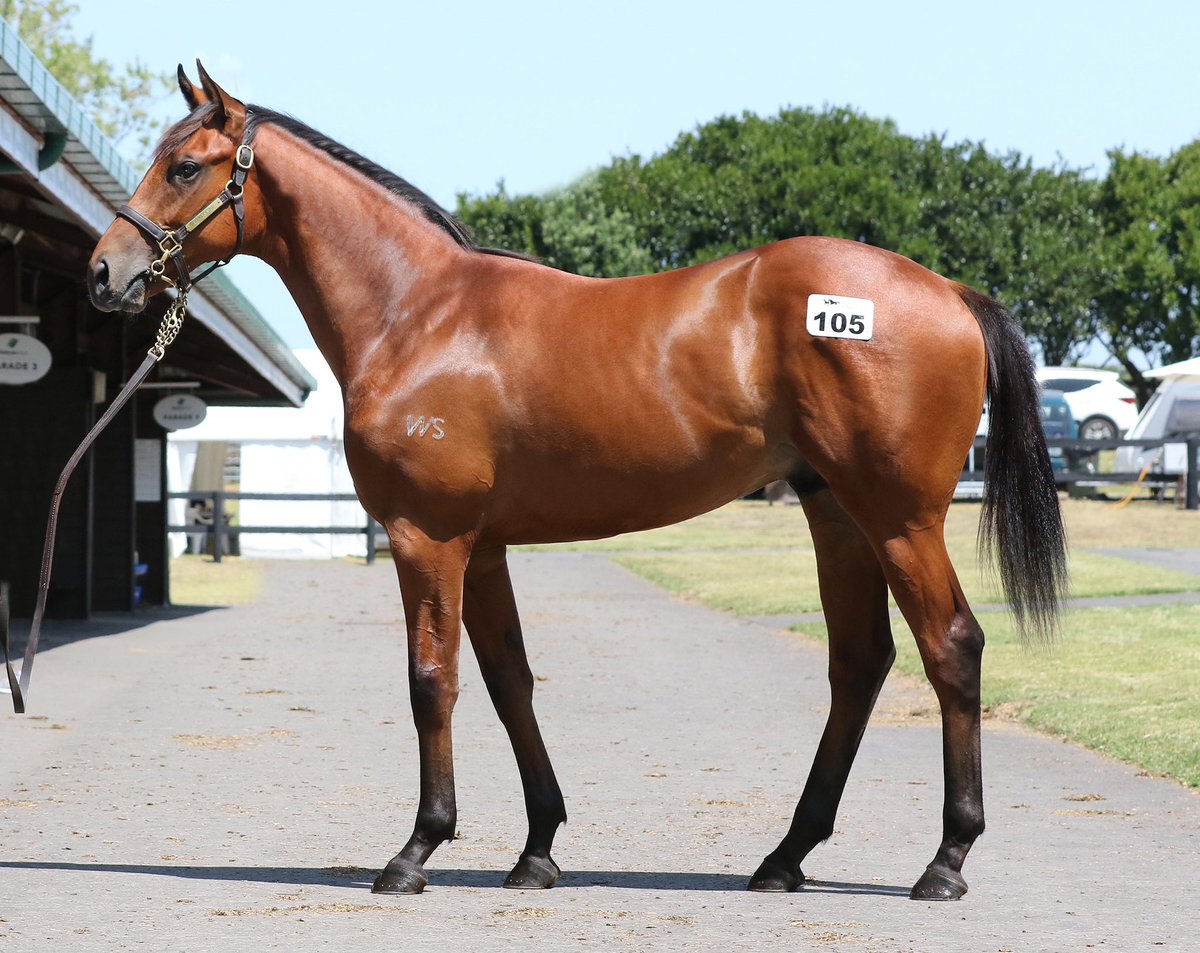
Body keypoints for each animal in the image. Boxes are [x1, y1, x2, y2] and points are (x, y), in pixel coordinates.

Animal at [87, 63, 1067, 901]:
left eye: (184, 166)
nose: (106, 273)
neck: (418, 313)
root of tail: (948, 290)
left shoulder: (426, 537)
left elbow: (431, 679)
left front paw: (416, 848)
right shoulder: (482, 547)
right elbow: (507, 679)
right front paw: (537, 849)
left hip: (899, 519)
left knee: (952, 647)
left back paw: (945, 859)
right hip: (838, 516)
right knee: (859, 663)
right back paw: (786, 856)